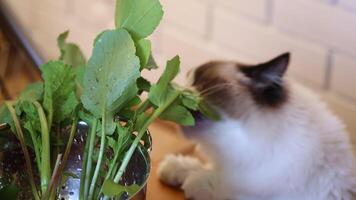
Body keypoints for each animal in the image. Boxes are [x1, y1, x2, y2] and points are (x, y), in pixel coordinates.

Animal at [157, 53, 356, 200]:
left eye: (202, 82)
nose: (176, 90)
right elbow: (199, 168)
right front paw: (174, 169)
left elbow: (223, 188)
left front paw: (196, 182)